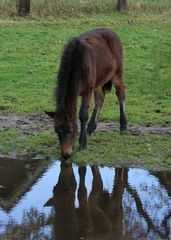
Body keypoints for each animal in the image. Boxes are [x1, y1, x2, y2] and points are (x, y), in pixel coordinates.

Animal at [46, 27, 126, 158]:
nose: (66, 154)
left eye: (70, 129)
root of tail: (112, 31)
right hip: (99, 80)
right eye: (56, 130)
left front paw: (82, 144)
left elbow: (83, 114)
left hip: (117, 72)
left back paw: (123, 125)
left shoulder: (87, 90)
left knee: (121, 94)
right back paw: (91, 127)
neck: (78, 66)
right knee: (100, 98)